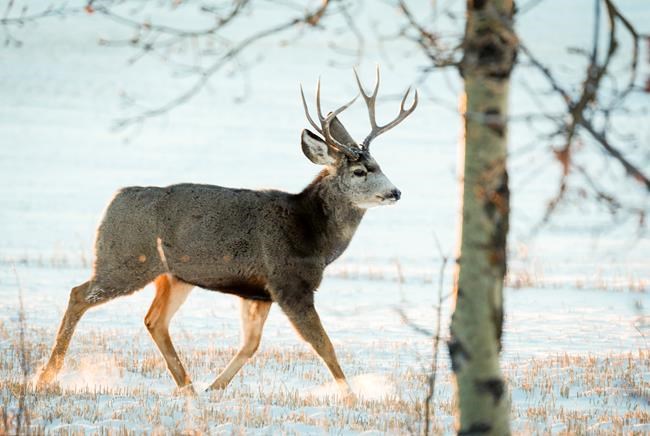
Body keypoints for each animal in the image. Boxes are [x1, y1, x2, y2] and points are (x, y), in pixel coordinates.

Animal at [36, 68, 417, 398]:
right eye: (360, 171)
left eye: (379, 165)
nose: (396, 192)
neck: (313, 235)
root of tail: (114, 200)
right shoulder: (289, 282)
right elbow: (324, 345)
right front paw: (353, 396)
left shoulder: (257, 292)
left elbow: (251, 345)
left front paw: (214, 388)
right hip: (126, 259)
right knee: (79, 294)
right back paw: (46, 377)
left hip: (174, 275)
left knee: (153, 320)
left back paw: (188, 386)